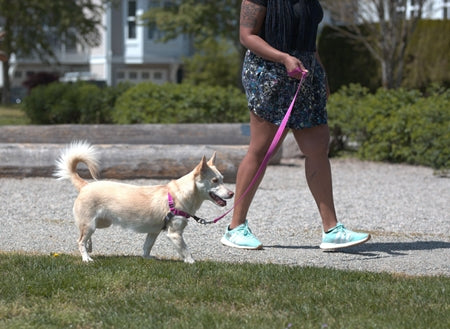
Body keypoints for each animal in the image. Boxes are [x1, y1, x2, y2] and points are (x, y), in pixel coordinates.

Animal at [54, 140, 234, 262]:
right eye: (215, 181)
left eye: (222, 179)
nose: (232, 193)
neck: (178, 195)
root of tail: (85, 185)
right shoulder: (175, 234)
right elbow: (186, 250)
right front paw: (192, 263)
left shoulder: (154, 231)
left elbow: (147, 246)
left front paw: (147, 258)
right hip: (91, 223)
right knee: (80, 241)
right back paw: (86, 258)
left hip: (101, 222)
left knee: (84, 236)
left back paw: (89, 247)